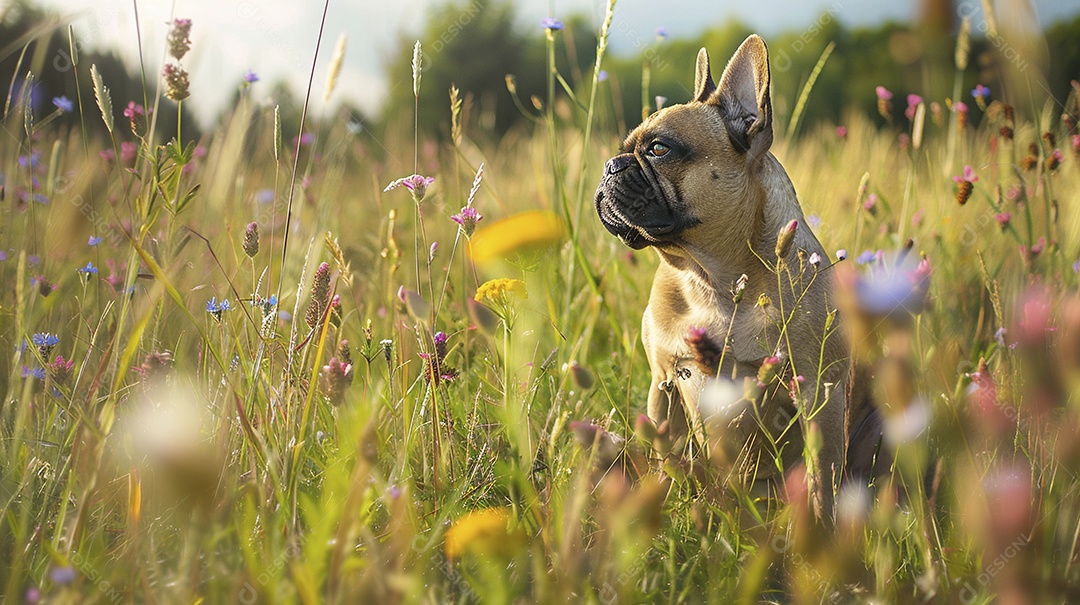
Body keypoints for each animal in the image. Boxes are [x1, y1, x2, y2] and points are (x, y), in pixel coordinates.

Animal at [591, 34, 868, 520]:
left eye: (659, 149)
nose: (611, 165)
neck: (713, 280)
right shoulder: (663, 381)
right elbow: (668, 457)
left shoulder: (822, 394)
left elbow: (823, 478)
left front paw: (823, 530)